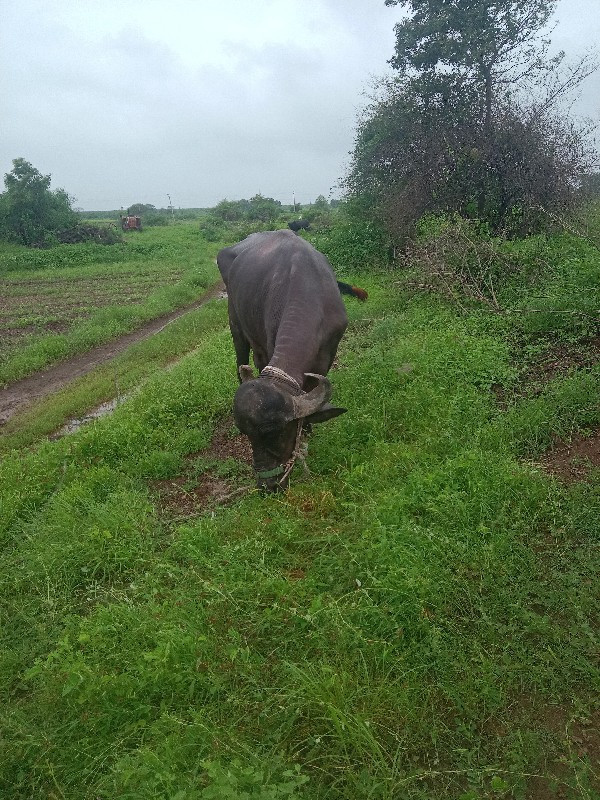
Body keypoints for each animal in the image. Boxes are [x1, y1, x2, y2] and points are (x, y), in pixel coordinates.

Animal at [217, 231, 350, 490]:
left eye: (273, 431)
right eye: (246, 433)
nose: (267, 486)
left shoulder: (329, 351)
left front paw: (307, 428)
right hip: (236, 325)